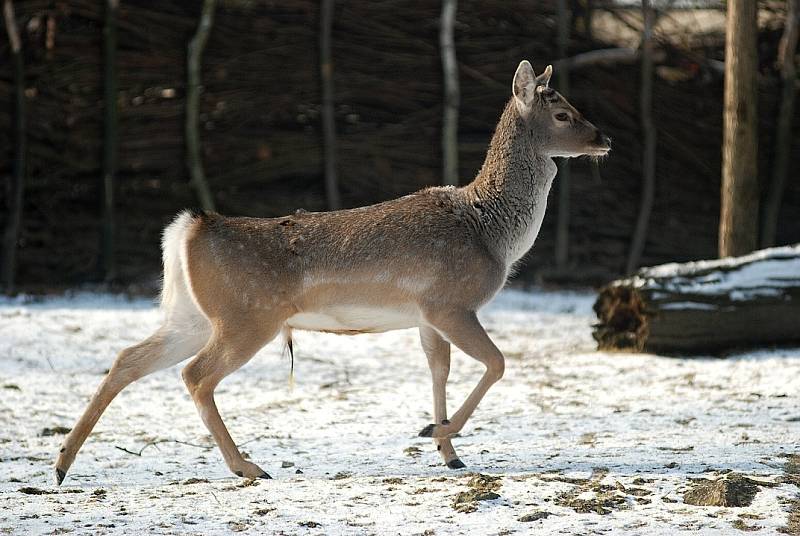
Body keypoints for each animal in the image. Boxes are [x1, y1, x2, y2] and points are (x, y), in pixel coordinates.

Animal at [54, 60, 608, 484]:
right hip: (248, 316)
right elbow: (497, 363)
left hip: (190, 315)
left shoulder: (427, 316)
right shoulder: (451, 302)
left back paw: (61, 464)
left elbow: (439, 370)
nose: (604, 138)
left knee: (128, 358)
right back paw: (247, 466)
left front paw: (448, 451)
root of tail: (187, 229)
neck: (489, 230)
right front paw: (438, 434)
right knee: (195, 375)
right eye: (563, 112)